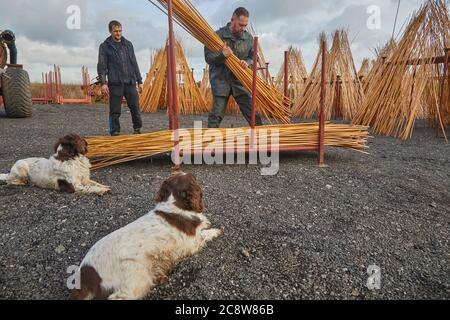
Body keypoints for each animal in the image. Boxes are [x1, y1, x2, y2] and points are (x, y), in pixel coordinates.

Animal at [69, 168, 222, 300]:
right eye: (193, 178)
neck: (174, 204)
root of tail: (84, 275)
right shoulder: (192, 243)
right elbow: (206, 233)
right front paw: (216, 230)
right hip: (137, 274)